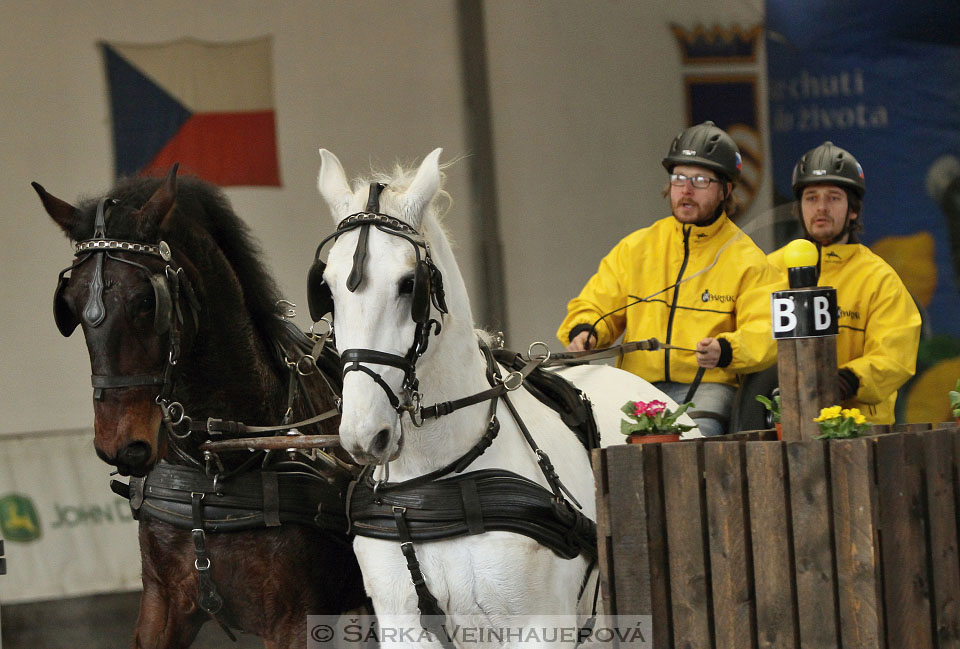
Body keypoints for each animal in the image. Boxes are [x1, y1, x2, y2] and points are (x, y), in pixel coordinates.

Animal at [35, 166, 366, 644]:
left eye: (146, 301)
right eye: (72, 307)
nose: (120, 445)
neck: (215, 462)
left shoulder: (296, 619)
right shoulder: (163, 605)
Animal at [316, 149, 696, 644]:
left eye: (408, 284)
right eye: (326, 288)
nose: (365, 435)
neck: (436, 479)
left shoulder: (539, 626)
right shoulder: (406, 627)